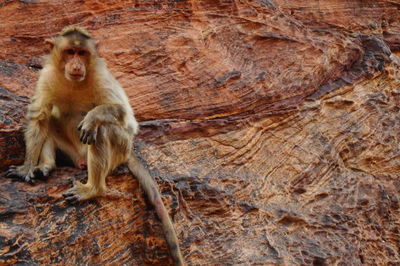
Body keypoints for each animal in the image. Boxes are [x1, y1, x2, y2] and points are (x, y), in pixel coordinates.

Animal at [6, 25, 184, 266]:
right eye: (70, 52)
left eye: (82, 53)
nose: (76, 65)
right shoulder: (47, 76)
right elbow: (40, 118)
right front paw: (26, 168)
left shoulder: (101, 76)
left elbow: (126, 117)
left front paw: (92, 117)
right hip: (72, 153)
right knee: (50, 121)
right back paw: (46, 165)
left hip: (120, 149)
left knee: (102, 131)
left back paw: (93, 189)